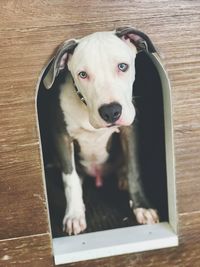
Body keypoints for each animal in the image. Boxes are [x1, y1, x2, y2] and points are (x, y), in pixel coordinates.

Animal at [43, 27, 159, 237]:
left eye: (122, 66)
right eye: (82, 74)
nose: (111, 111)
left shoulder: (130, 129)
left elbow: (134, 168)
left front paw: (142, 206)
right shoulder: (61, 137)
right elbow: (70, 178)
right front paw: (74, 215)